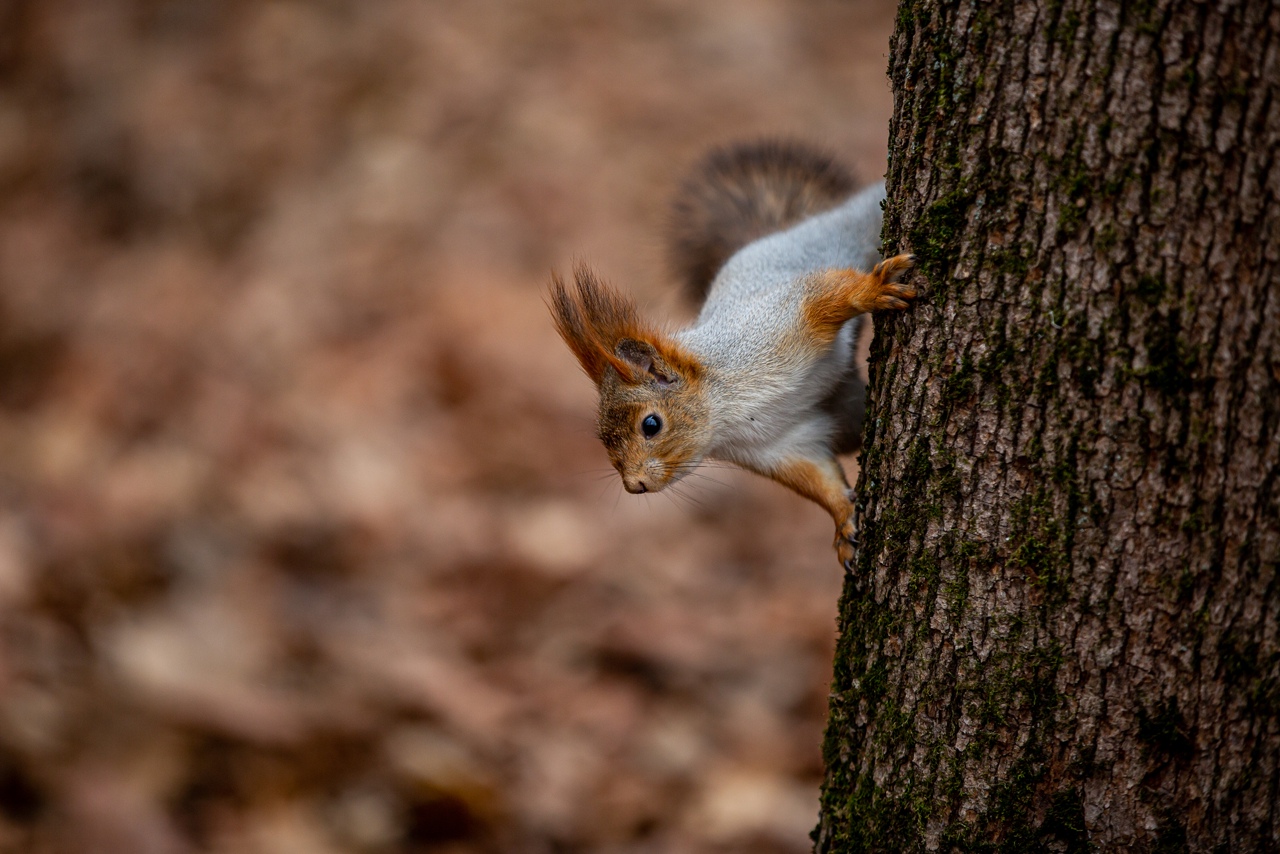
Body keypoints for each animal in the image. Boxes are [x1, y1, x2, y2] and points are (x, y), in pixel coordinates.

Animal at [550, 140, 921, 568]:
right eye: (601, 439)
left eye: (651, 425)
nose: (634, 485)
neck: (727, 410)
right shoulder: (780, 446)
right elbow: (817, 479)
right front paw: (844, 523)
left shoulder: (777, 321)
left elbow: (827, 295)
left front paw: (874, 291)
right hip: (844, 415)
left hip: (841, 232)